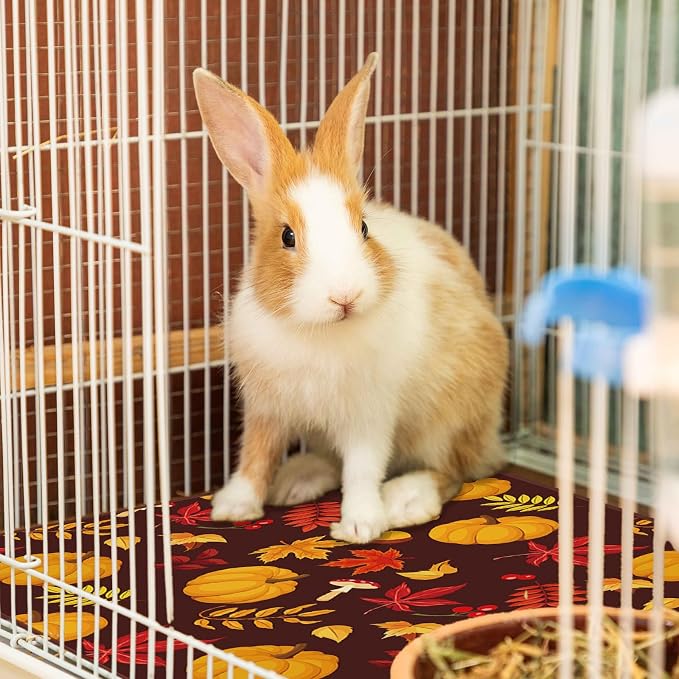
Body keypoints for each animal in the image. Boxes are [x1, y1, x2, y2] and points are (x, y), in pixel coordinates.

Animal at [192, 52, 509, 544]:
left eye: (363, 227)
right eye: (287, 236)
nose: (345, 296)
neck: (316, 330)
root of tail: (491, 437)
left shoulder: (368, 414)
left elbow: (362, 469)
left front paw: (360, 524)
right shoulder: (267, 408)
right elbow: (256, 454)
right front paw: (233, 507)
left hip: (449, 421)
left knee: (452, 471)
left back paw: (404, 499)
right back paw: (296, 480)